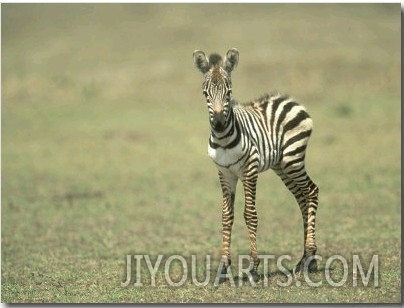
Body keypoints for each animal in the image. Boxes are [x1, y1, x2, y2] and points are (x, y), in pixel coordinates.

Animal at [194, 47, 320, 282]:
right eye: (206, 94)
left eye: (229, 92)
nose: (219, 124)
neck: (223, 139)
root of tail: (291, 100)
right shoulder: (225, 173)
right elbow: (226, 216)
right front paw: (223, 268)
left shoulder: (249, 170)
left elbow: (250, 215)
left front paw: (253, 267)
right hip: (282, 167)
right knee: (302, 198)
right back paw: (306, 259)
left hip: (293, 159)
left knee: (312, 191)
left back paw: (309, 255)